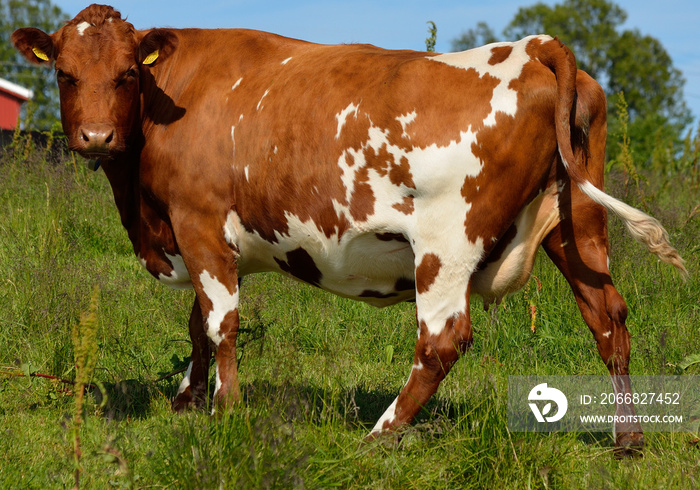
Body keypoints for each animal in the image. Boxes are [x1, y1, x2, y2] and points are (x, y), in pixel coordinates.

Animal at [13, 3, 688, 452]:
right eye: (65, 74)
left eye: (127, 73)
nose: (95, 137)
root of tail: (534, 47)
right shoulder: (199, 238)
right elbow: (198, 323)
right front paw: (185, 400)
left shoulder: (199, 221)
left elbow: (220, 322)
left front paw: (225, 411)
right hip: (580, 225)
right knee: (608, 316)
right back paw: (628, 438)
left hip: (445, 244)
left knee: (442, 340)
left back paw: (380, 434)